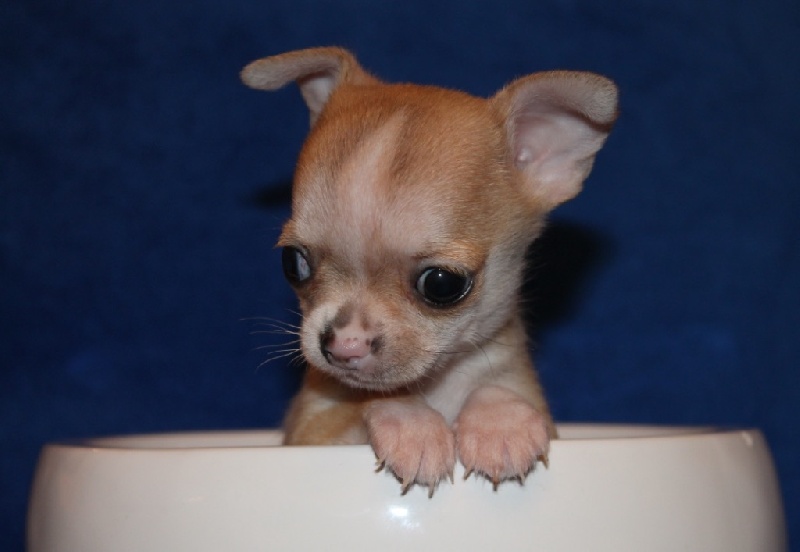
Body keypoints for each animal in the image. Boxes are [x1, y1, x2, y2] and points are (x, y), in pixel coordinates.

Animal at [241, 47, 618, 494]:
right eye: (293, 263)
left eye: (442, 284)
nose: (343, 346)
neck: (436, 387)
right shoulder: (310, 433)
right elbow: (362, 406)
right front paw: (412, 424)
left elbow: (495, 388)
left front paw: (501, 424)